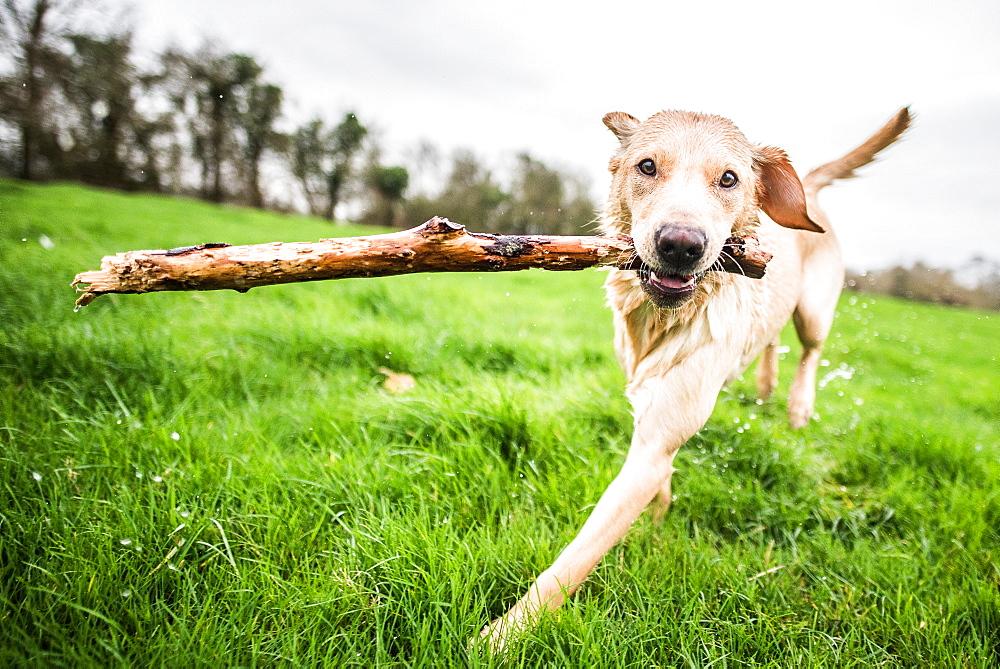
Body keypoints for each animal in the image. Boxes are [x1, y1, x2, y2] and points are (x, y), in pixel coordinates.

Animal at [480, 108, 912, 648]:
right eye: (646, 166)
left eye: (729, 179)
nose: (681, 245)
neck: (665, 320)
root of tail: (807, 186)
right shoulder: (646, 412)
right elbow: (658, 481)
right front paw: (656, 520)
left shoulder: (655, 440)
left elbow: (578, 555)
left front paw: (503, 634)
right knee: (771, 339)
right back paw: (767, 384)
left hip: (815, 310)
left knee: (810, 351)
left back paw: (797, 404)